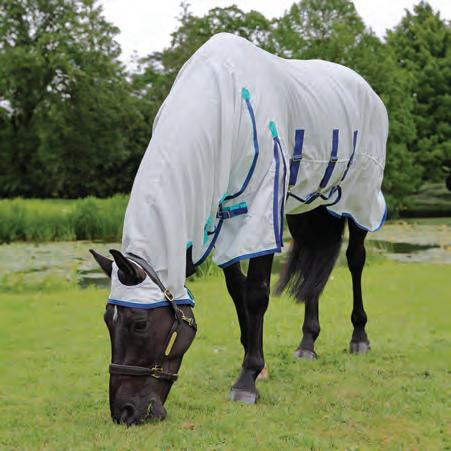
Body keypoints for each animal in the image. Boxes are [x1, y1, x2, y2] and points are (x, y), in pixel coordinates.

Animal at [90, 33, 388, 424]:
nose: (125, 412)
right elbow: (237, 291)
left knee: (355, 259)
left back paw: (359, 336)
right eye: (107, 321)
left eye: (139, 324)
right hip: (305, 207)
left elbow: (257, 293)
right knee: (314, 270)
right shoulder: (222, 216)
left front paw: (247, 380)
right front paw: (256, 363)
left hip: (358, 198)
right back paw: (307, 344)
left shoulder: (262, 203)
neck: (224, 102)